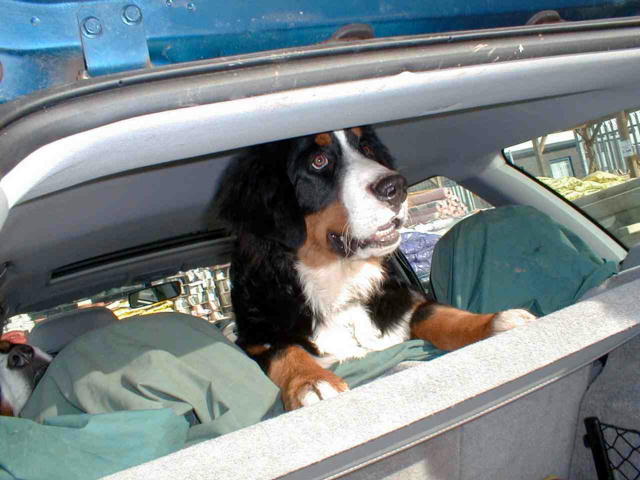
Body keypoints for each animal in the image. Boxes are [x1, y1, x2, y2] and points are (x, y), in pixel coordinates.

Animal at [215, 126, 536, 408]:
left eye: (367, 149)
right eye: (318, 161)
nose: (396, 187)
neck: (341, 284)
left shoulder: (403, 302)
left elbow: (436, 314)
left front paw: (494, 321)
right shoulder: (253, 338)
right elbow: (283, 348)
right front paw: (311, 381)